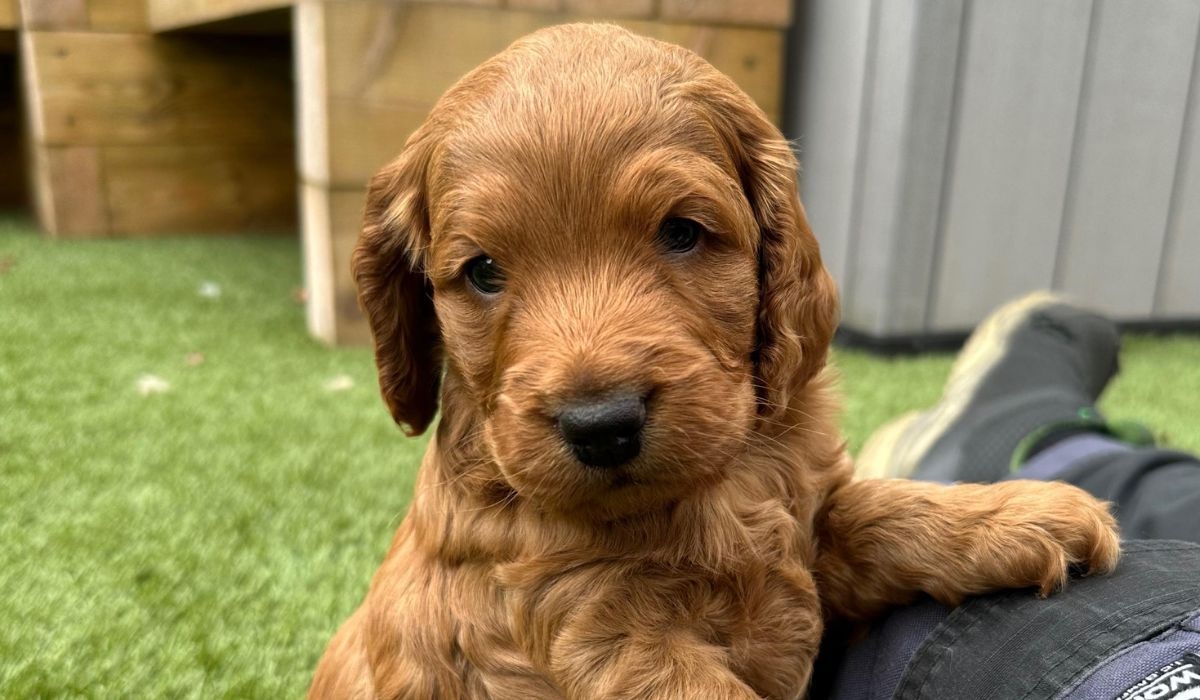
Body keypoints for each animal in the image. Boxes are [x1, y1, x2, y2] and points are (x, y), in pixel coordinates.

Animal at [309, 23, 1113, 700]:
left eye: (682, 233)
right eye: (481, 272)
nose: (601, 425)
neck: (713, 491)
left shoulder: (806, 521)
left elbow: (874, 507)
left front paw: (1020, 512)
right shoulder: (601, 629)